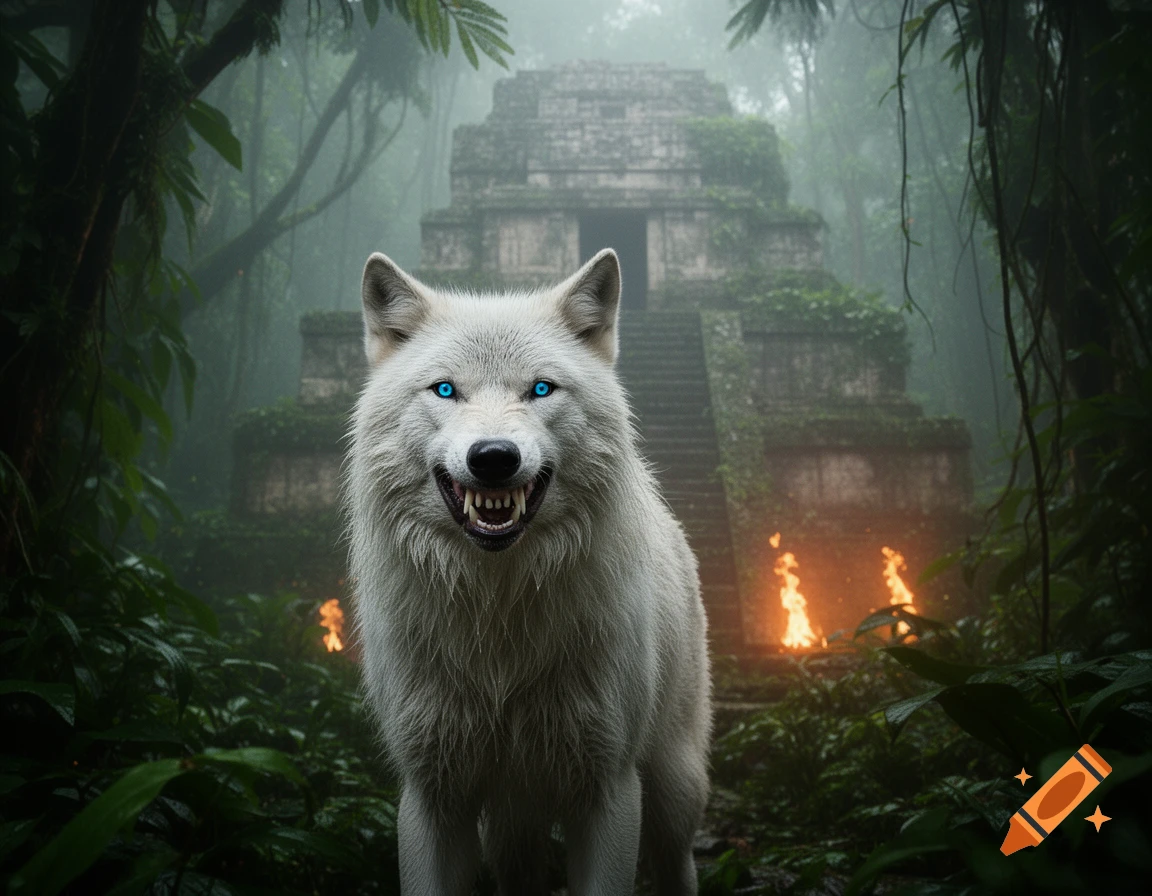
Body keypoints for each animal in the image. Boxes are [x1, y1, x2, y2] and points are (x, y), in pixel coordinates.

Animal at [345, 248, 711, 895]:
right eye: (445, 390)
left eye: (541, 389)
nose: (494, 457)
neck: (498, 620)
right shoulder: (431, 793)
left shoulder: (609, 788)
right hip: (512, 827)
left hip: (672, 788)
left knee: (677, 862)